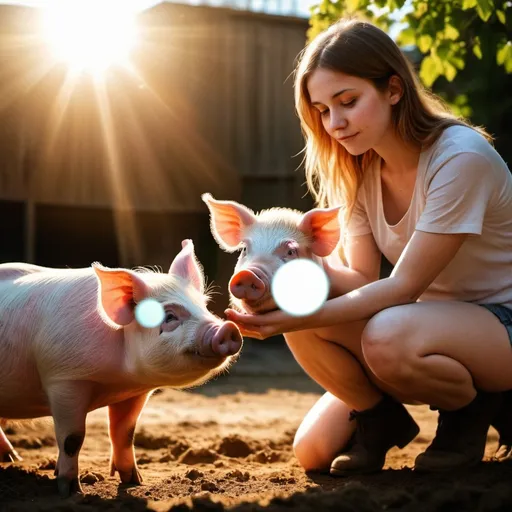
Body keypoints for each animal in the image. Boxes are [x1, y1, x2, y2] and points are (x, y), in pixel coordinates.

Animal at [0, 240, 242, 496]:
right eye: (169, 316)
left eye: (204, 307)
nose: (228, 328)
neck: (118, 379)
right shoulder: (64, 378)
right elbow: (72, 438)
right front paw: (71, 490)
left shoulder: (134, 392)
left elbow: (124, 434)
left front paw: (135, 481)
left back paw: (11, 458)